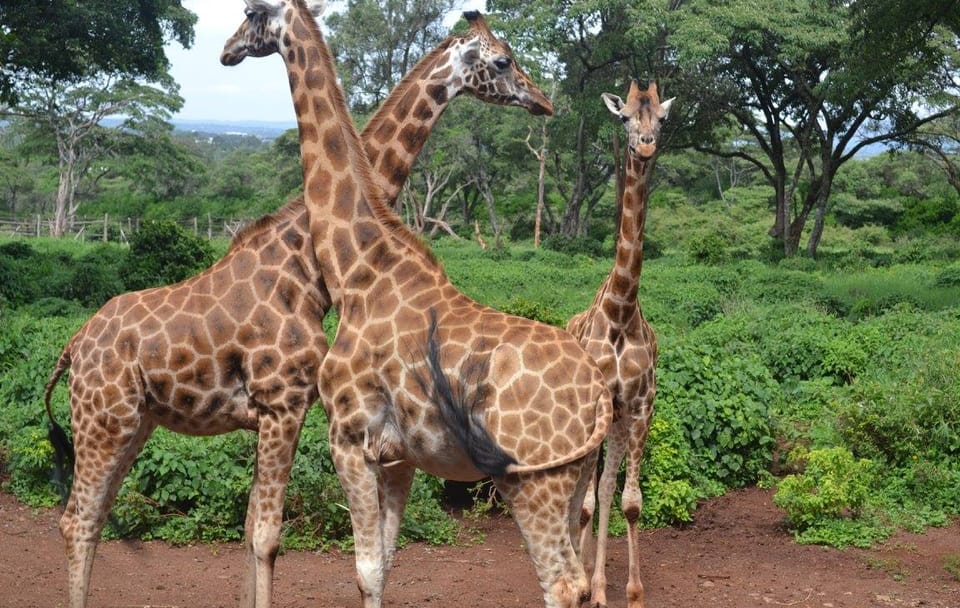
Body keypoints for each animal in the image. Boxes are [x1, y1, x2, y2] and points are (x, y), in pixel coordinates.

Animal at [43, 8, 556, 608]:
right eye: (503, 61)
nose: (544, 101)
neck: (307, 265)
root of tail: (72, 346)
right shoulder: (282, 401)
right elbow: (266, 535)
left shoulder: (278, 411)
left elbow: (250, 530)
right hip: (105, 418)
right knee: (76, 520)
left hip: (134, 421)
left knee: (93, 515)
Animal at [220, 2, 612, 607]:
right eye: (505, 59)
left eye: (250, 15)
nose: (227, 50)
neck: (358, 270)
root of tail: (598, 394)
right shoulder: (400, 456)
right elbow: (383, 565)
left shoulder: (348, 438)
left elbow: (362, 567)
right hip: (576, 475)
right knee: (581, 578)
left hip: (534, 480)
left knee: (564, 585)